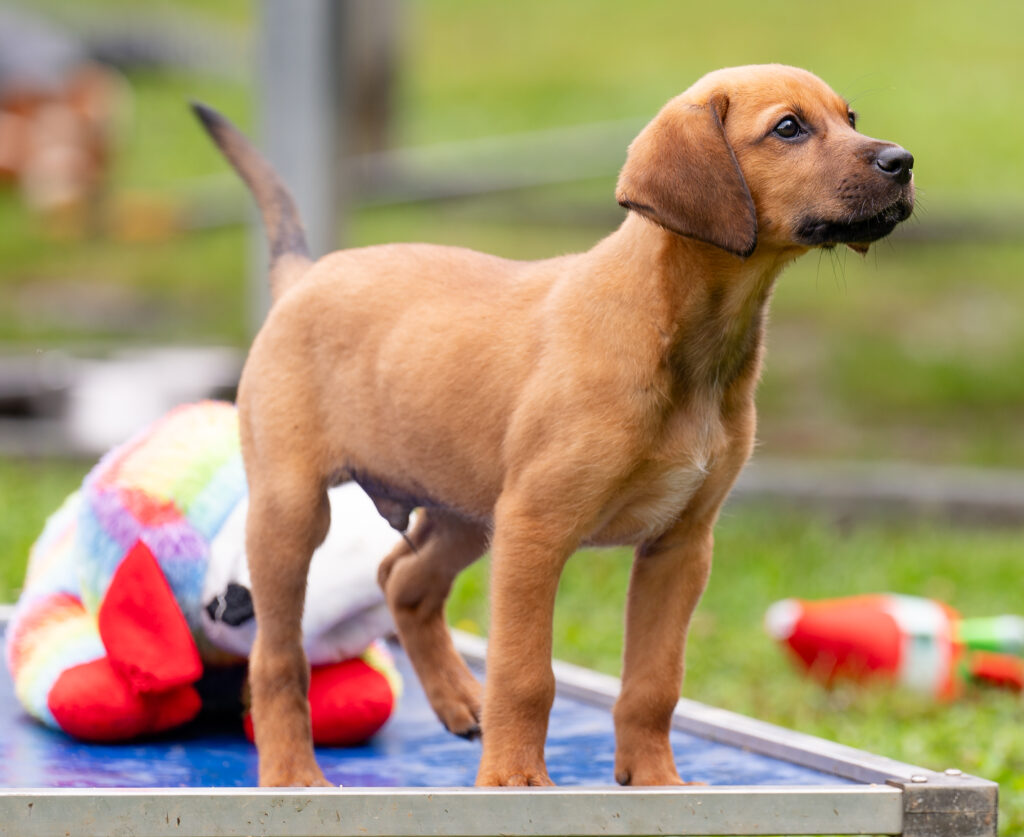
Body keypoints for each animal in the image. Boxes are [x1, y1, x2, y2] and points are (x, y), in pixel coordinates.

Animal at [192, 63, 913, 782]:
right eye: (788, 128)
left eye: (851, 118)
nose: (903, 161)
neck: (684, 341)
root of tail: (305, 277)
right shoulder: (536, 531)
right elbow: (525, 674)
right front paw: (513, 779)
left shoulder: (679, 546)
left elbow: (655, 683)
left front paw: (655, 780)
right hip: (293, 512)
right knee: (278, 656)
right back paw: (293, 772)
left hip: (466, 510)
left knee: (404, 580)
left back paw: (460, 700)